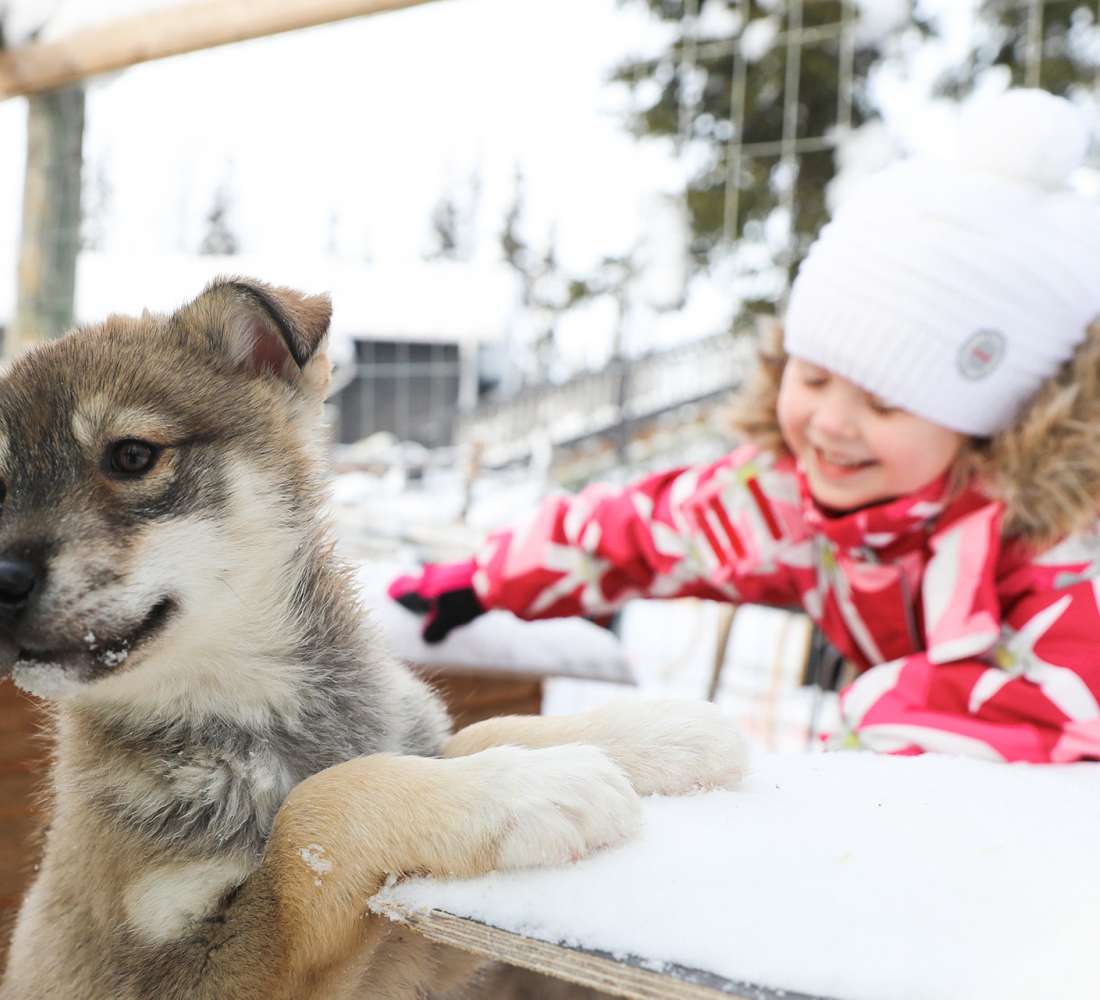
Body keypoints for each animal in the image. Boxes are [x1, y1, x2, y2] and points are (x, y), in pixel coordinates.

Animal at [0, 278, 746, 999]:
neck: (252, 708)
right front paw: (525, 789)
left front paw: (654, 735)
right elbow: (315, 813)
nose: (4, 579)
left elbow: (475, 735)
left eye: (131, 456)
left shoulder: (418, 950)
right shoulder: (169, 970)